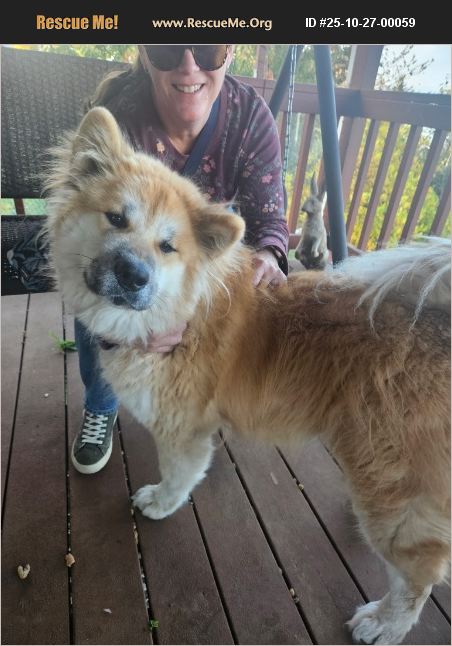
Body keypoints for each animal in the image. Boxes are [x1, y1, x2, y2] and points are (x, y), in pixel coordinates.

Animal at [45, 107, 450, 645]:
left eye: (168, 247)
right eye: (115, 218)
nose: (134, 274)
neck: (180, 312)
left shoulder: (180, 429)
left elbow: (177, 475)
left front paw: (159, 501)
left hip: (390, 483)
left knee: (421, 573)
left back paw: (384, 623)